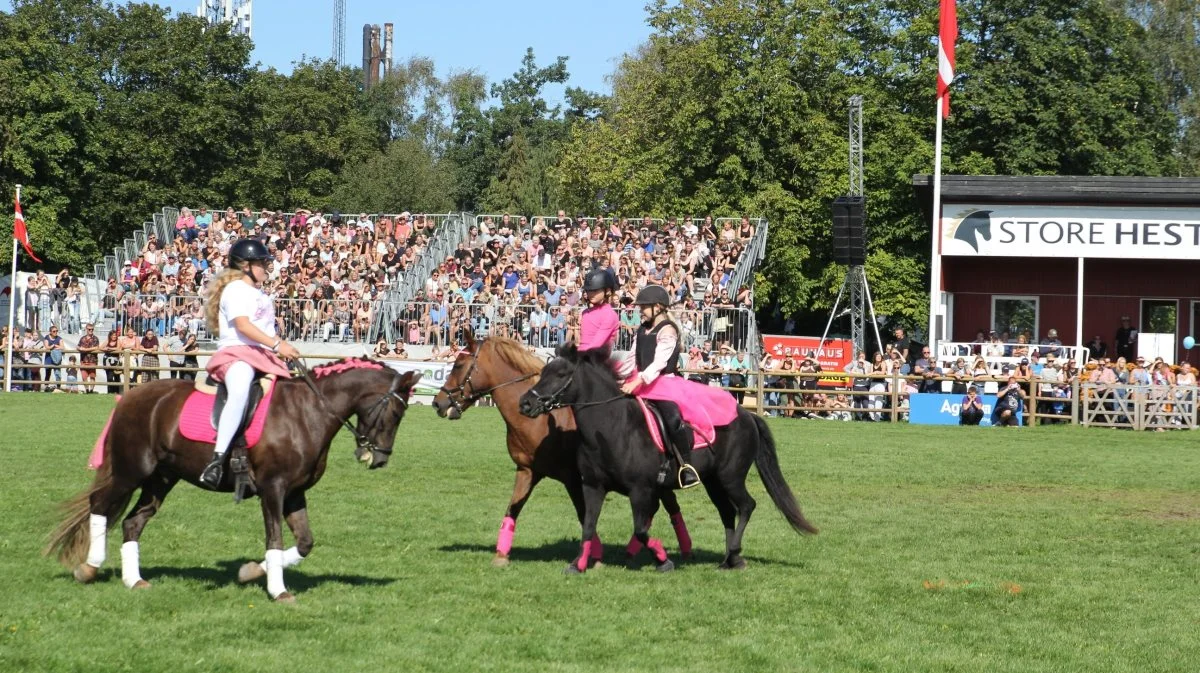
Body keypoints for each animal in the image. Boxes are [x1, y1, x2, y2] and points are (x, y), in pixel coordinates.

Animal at [45, 359, 422, 599]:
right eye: (397, 412)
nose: (379, 458)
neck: (308, 412)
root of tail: (130, 396)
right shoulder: (273, 489)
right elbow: (274, 539)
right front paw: (278, 590)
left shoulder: (295, 493)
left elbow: (304, 543)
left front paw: (251, 572)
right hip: (131, 470)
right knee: (100, 505)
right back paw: (90, 568)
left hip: (161, 479)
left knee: (132, 522)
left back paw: (133, 581)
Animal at [432, 333, 696, 563]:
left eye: (458, 365)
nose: (438, 403)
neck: (540, 423)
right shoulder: (527, 471)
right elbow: (512, 509)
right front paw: (501, 555)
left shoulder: (572, 478)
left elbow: (583, 514)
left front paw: (593, 556)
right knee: (667, 503)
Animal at [516, 345, 816, 571]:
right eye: (543, 372)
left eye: (561, 374)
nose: (525, 403)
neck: (612, 426)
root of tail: (747, 415)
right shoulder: (593, 487)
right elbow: (588, 525)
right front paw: (578, 564)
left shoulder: (641, 490)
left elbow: (640, 529)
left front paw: (663, 560)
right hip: (713, 481)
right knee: (727, 512)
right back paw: (729, 560)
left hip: (731, 477)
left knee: (746, 506)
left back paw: (734, 552)